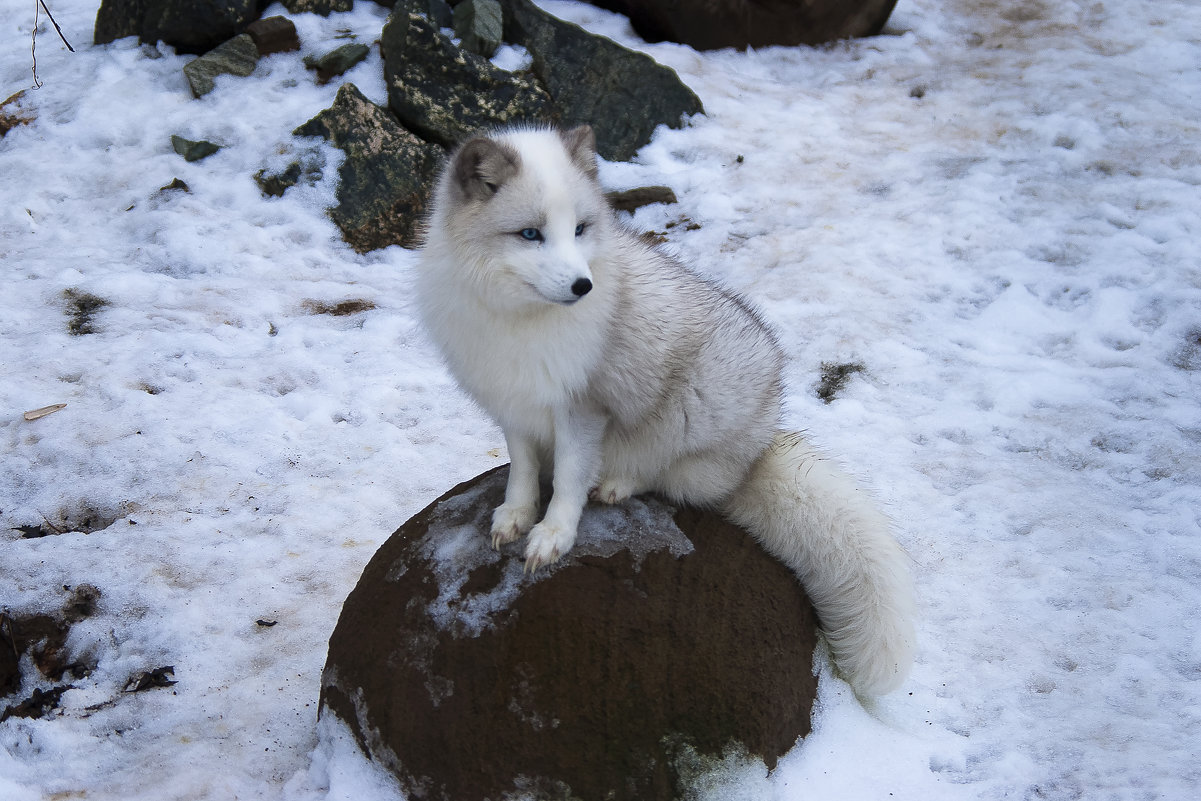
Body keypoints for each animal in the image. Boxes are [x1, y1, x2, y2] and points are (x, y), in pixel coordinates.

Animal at [417, 125, 912, 696]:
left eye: (581, 229)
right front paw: (514, 517)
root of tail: (759, 450)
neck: (517, 320)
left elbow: (568, 478)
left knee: (665, 476)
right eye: (530, 234)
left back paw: (617, 484)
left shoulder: (584, 406)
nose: (583, 286)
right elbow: (521, 470)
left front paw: (553, 536)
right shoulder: (512, 403)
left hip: (689, 410)